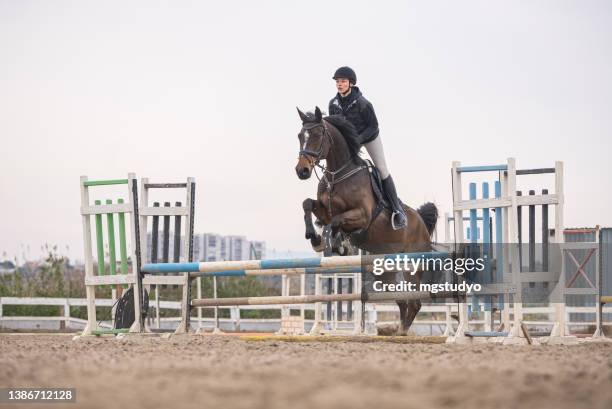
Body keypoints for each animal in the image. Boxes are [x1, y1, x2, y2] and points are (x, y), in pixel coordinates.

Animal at [294, 106, 438, 334]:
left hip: (411, 266)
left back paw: (402, 332)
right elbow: (307, 204)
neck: (338, 175)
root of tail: (422, 223)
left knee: (414, 302)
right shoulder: (325, 211)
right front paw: (315, 238)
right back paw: (399, 331)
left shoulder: (362, 215)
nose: (302, 171)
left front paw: (336, 242)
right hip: (385, 268)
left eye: (317, 135)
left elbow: (336, 222)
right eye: (300, 136)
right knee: (401, 300)